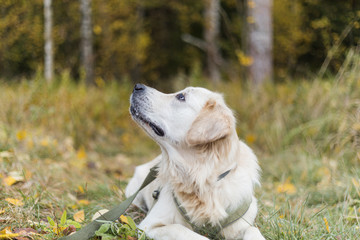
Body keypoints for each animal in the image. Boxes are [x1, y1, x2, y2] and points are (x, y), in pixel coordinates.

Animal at [126, 84, 264, 240]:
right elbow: (181, 229)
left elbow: (253, 229)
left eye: (181, 97)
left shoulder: (241, 224)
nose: (137, 86)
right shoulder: (149, 225)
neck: (202, 180)